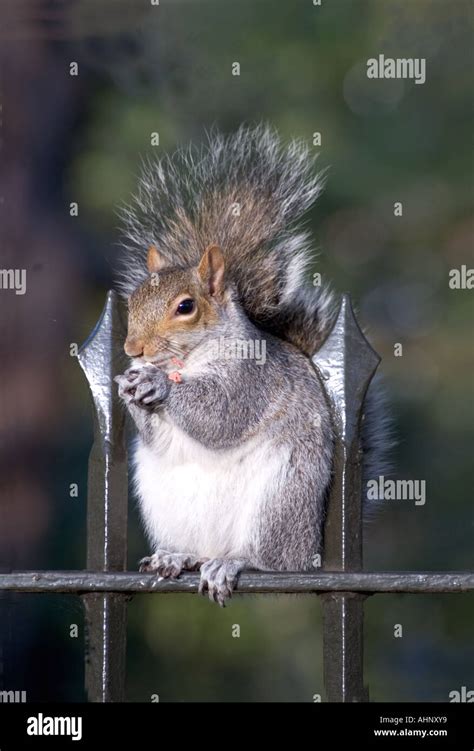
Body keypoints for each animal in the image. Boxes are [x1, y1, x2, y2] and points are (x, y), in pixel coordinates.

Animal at [115, 123, 388, 604]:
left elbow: (223, 414)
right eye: (132, 301)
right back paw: (177, 556)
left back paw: (235, 562)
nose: (133, 349)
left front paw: (157, 386)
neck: (188, 361)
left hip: (279, 501)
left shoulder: (252, 379)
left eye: (185, 307)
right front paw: (128, 385)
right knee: (196, 551)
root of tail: (311, 550)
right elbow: (157, 435)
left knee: (271, 559)